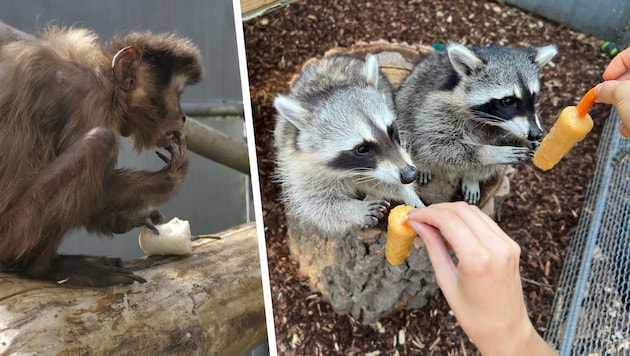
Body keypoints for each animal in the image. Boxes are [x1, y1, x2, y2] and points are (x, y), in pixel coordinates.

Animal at [274, 53, 428, 236]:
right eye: (362, 149)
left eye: (391, 130)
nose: (410, 174)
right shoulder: (299, 162)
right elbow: (315, 204)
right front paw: (354, 210)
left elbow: (384, 181)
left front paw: (407, 193)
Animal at [398, 44, 560, 204]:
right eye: (508, 101)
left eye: (533, 96)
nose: (536, 134)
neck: (489, 122)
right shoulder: (436, 108)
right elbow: (438, 145)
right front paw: (490, 152)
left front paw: (521, 140)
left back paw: (472, 178)